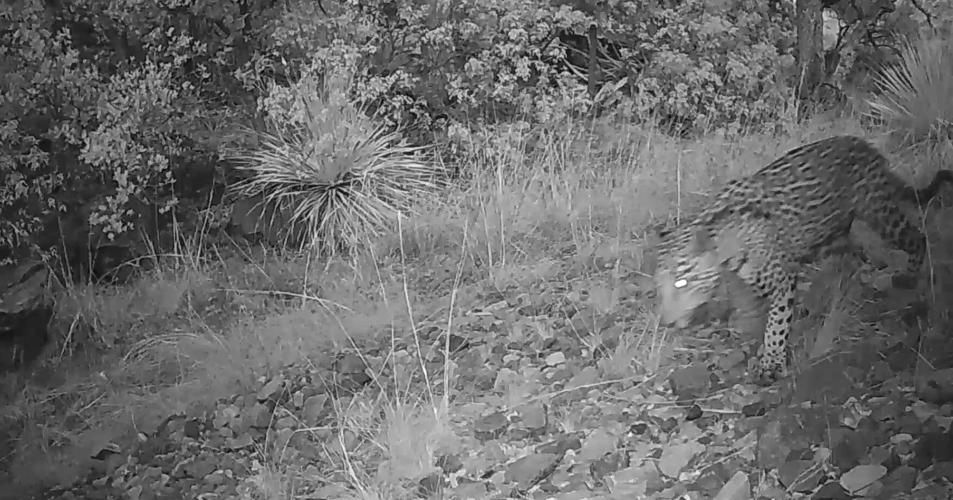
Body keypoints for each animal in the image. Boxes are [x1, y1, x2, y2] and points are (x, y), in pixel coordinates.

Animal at [652, 135, 953, 385]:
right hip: (831, 235)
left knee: (915, 237)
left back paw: (908, 277)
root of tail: (867, 146)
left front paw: (771, 364)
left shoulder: (781, 279)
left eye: (681, 283)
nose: (666, 322)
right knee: (853, 258)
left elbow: (776, 323)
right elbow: (756, 316)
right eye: (661, 288)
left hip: (879, 211)